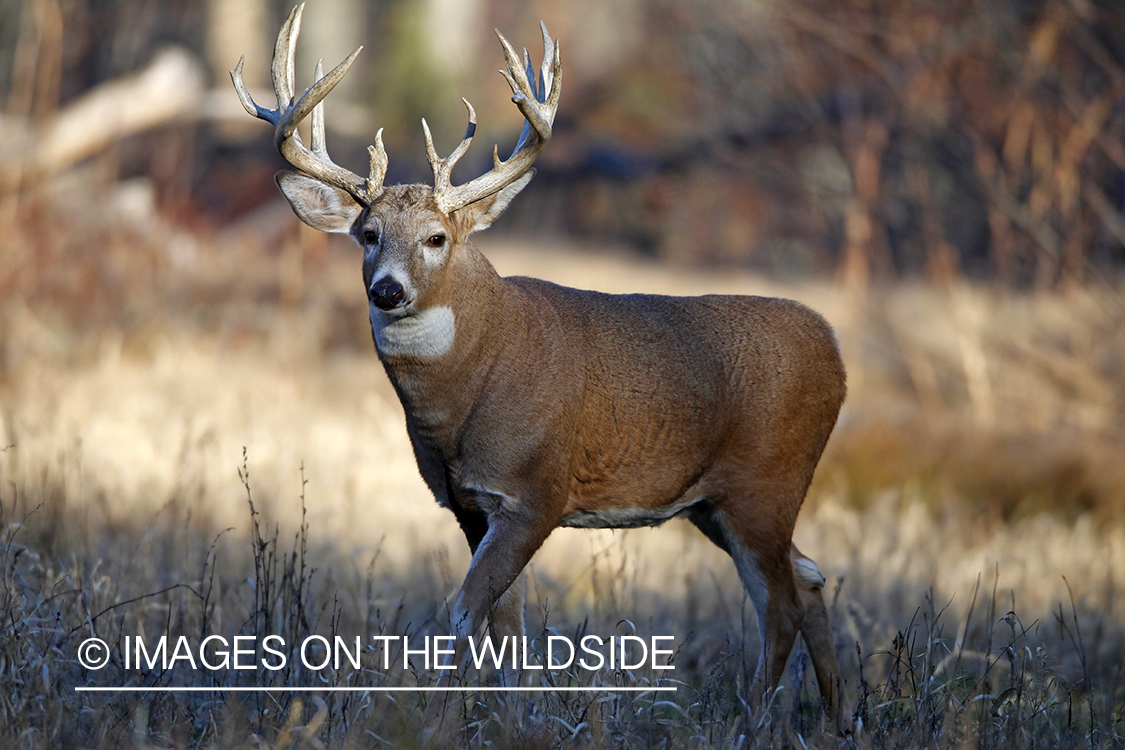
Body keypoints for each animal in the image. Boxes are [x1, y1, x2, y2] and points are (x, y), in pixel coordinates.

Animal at [232, 4, 850, 728]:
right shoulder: (470, 505)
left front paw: (441, 720)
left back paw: (752, 719)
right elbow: (509, 621)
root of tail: (835, 349)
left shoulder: (536, 493)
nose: (386, 289)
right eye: (367, 236)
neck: (468, 394)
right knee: (810, 577)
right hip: (716, 502)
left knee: (780, 601)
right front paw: (507, 719)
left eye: (436, 238)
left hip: (766, 483)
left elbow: (464, 610)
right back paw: (840, 717)